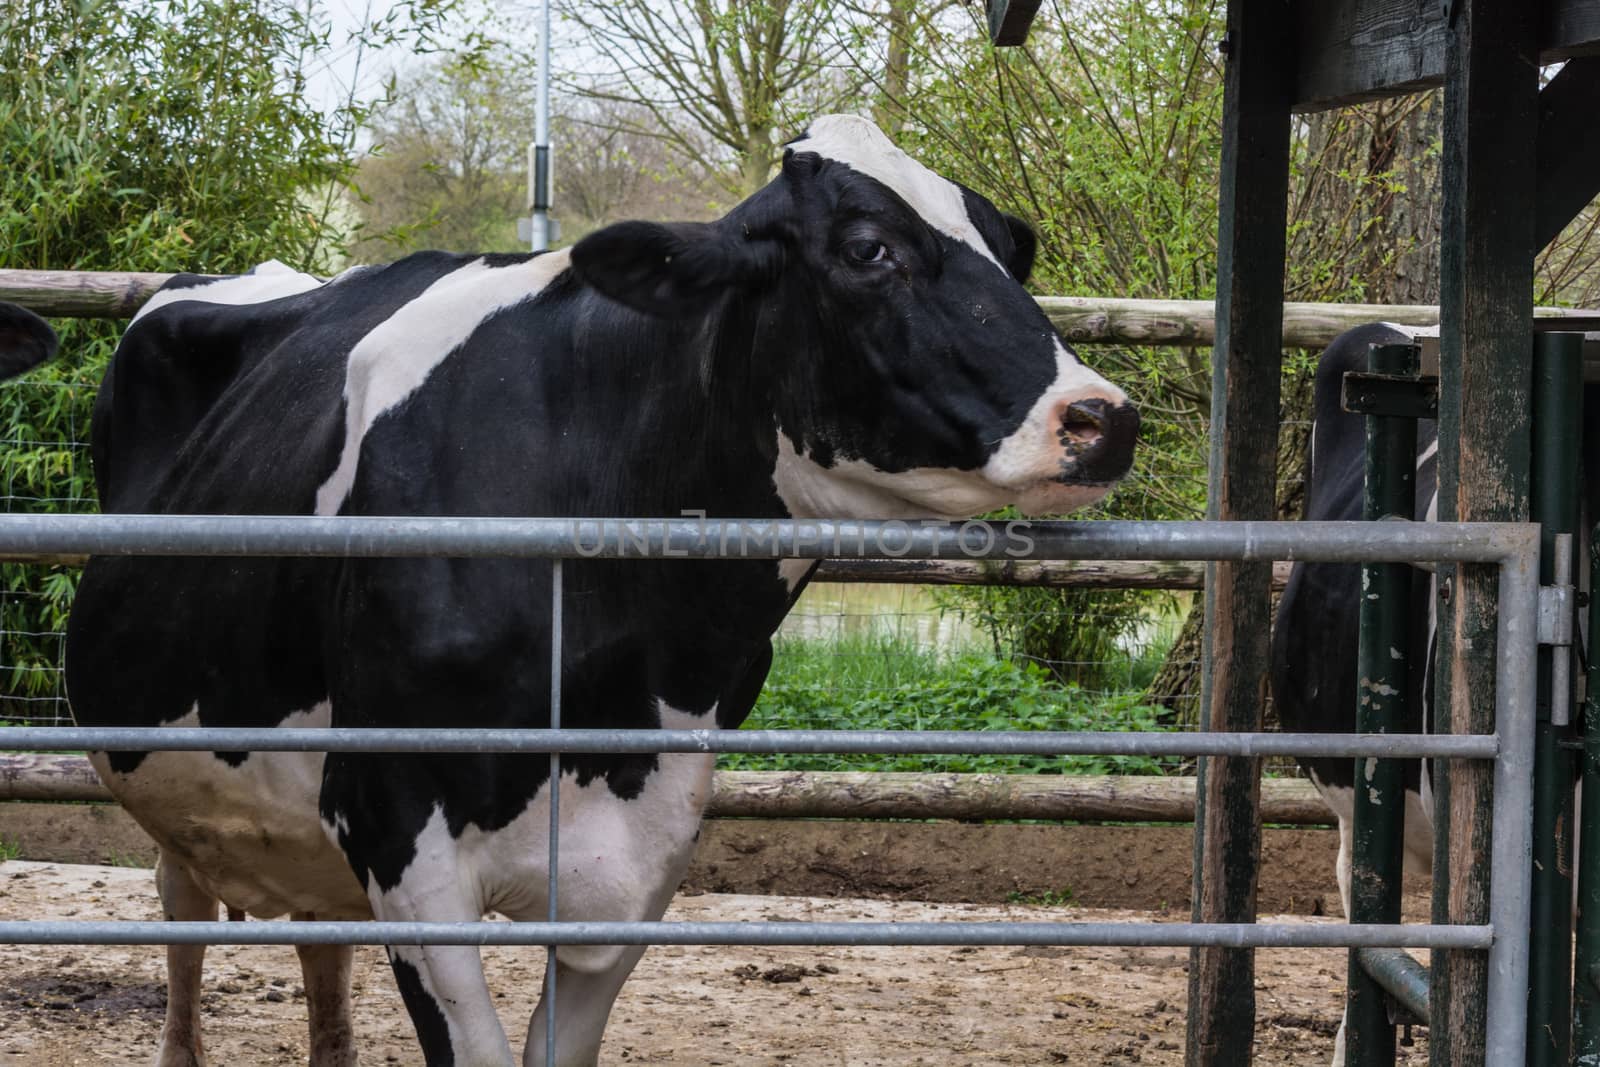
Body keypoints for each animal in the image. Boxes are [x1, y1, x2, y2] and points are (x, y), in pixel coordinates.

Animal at [46, 116, 1139, 1067]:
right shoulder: (397, 829)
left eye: (1012, 246)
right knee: (184, 921)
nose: (1102, 417)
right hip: (181, 791)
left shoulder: (646, 842)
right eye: (869, 248)